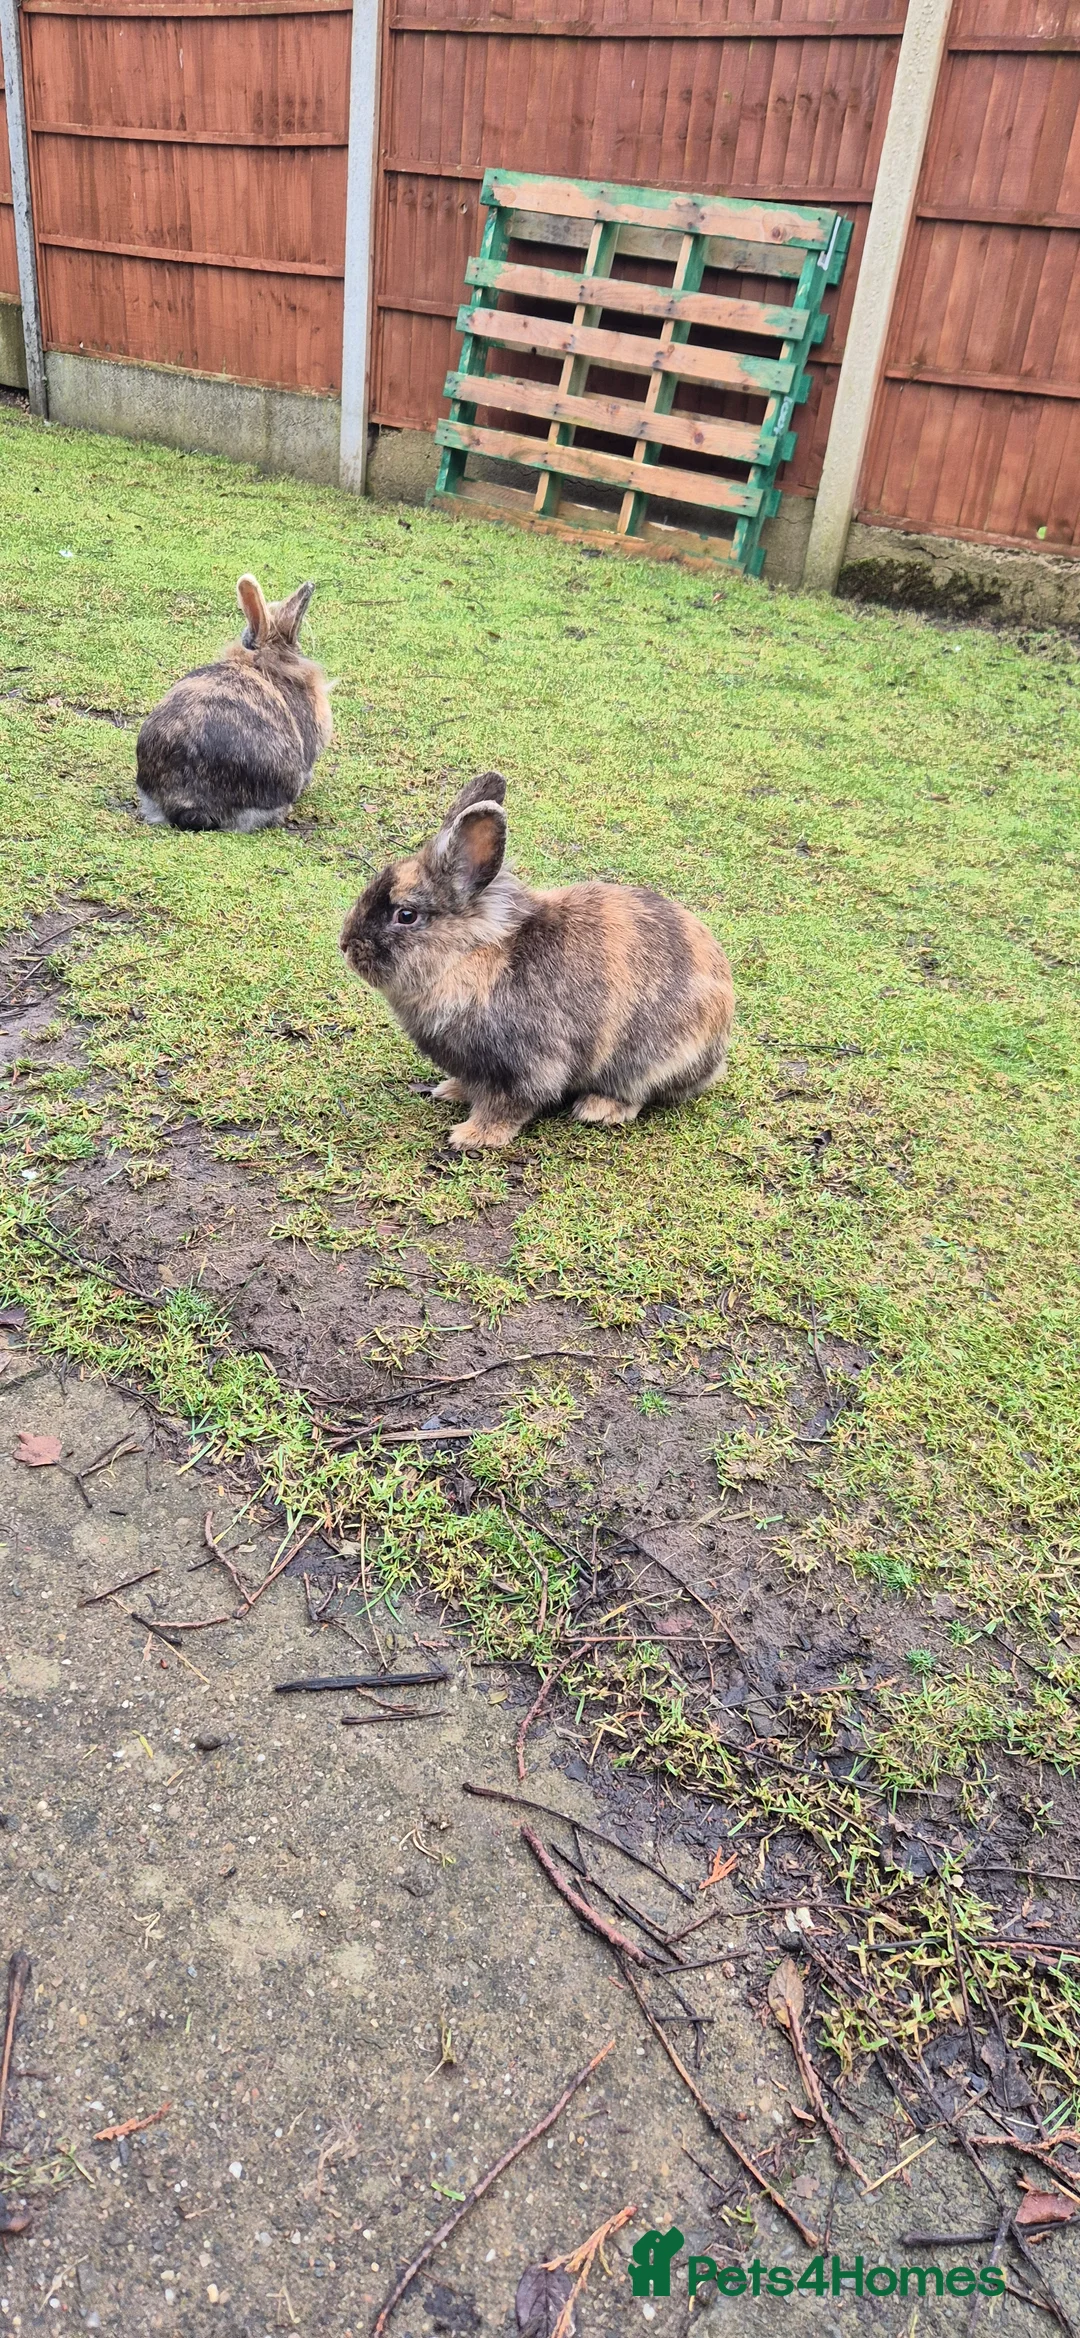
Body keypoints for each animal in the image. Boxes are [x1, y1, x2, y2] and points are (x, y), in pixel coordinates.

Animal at [340, 773, 734, 1150]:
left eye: (406, 915)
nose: (345, 944)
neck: (468, 958)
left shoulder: (526, 1065)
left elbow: (509, 1104)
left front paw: (472, 1136)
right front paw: (451, 1091)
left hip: (647, 1061)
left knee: (639, 1092)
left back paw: (598, 1109)